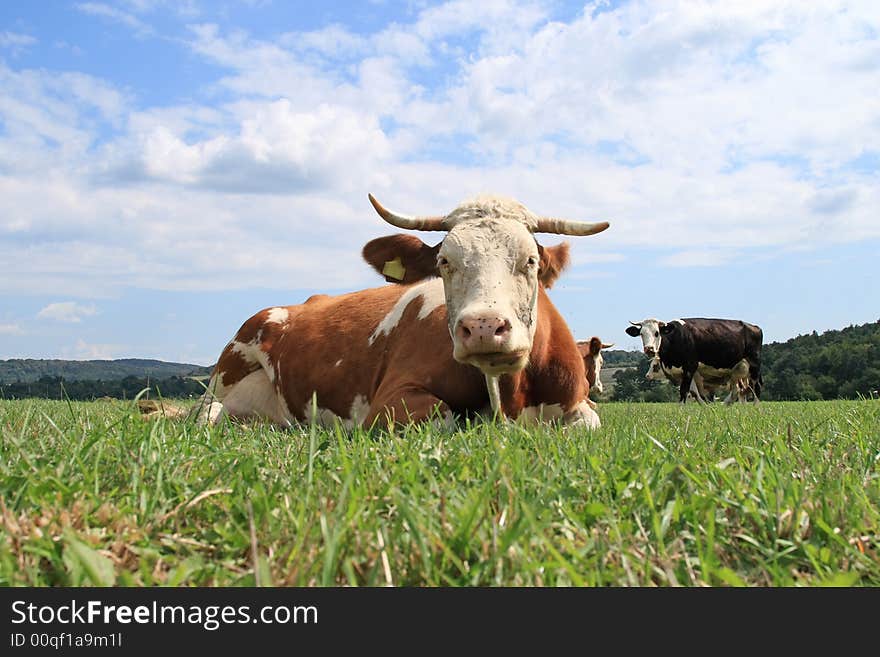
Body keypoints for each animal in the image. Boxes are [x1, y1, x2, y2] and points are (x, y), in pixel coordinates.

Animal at [190, 193, 608, 430]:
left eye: (530, 261)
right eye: (444, 262)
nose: (484, 327)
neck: (506, 395)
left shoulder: (577, 402)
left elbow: (590, 423)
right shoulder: (389, 400)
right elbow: (444, 418)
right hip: (224, 374)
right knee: (207, 415)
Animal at [624, 316, 764, 402]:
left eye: (657, 333)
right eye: (641, 334)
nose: (649, 349)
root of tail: (754, 326)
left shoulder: (690, 367)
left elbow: (684, 391)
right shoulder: (685, 373)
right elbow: (694, 392)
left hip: (754, 365)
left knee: (755, 387)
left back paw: (756, 409)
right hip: (736, 371)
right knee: (738, 390)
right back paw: (726, 404)